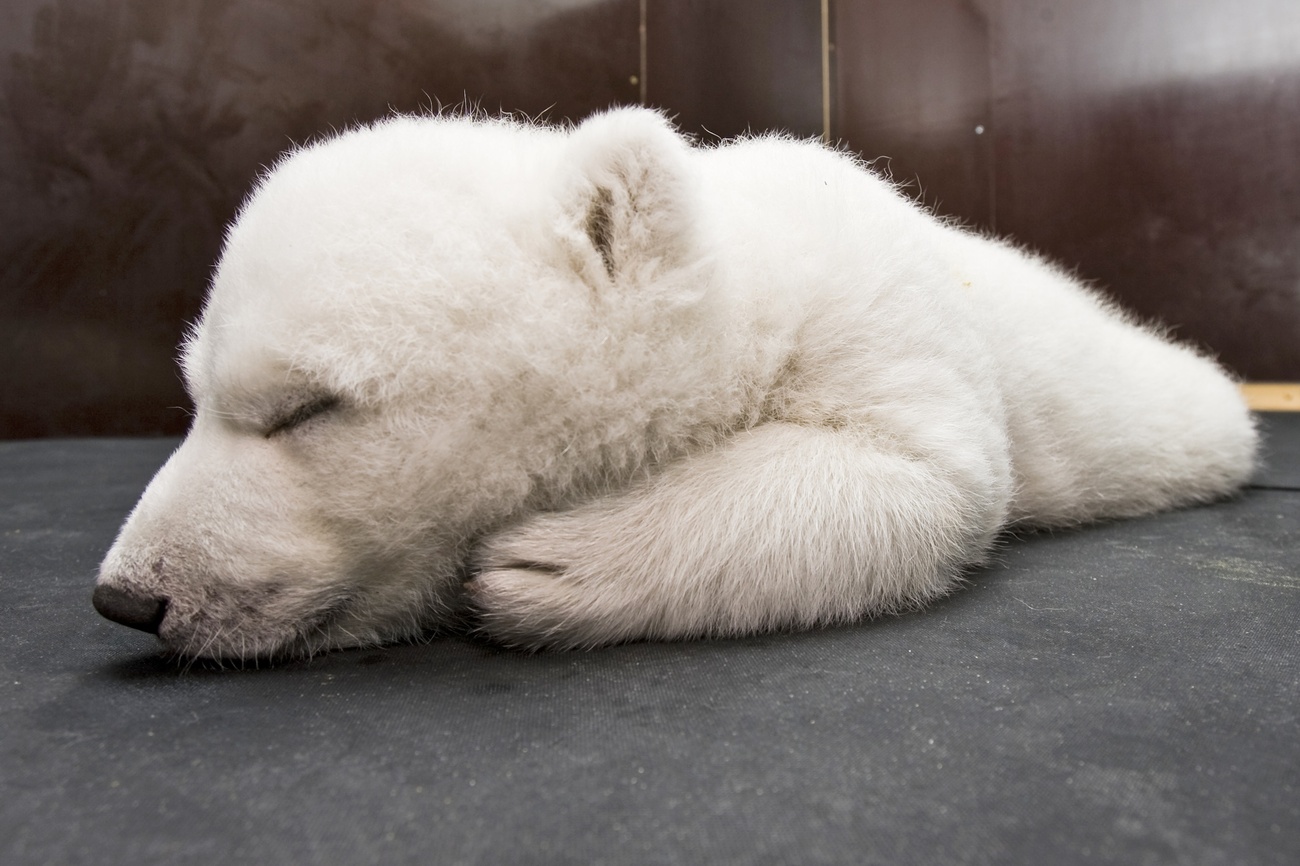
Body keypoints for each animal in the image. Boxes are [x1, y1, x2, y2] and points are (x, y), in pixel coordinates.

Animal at [92, 107, 1257, 661]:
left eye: (304, 406)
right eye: (193, 395)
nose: (130, 595)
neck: (741, 280)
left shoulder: (881, 326)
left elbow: (918, 481)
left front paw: (548, 565)